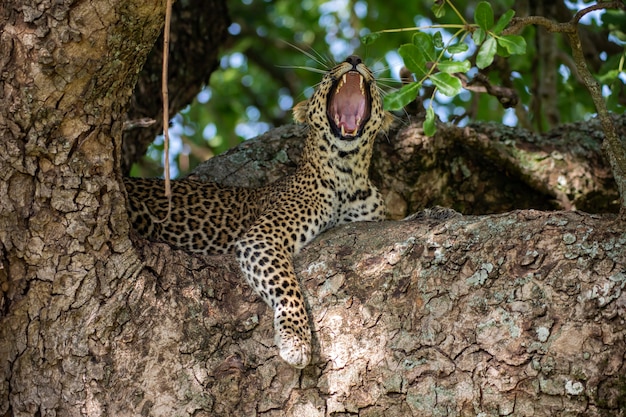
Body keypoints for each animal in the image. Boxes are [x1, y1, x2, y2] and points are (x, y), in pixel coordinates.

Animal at [123, 55, 390, 368]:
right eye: (328, 70)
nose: (354, 59)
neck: (348, 177)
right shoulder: (261, 239)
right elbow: (288, 288)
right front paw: (295, 341)